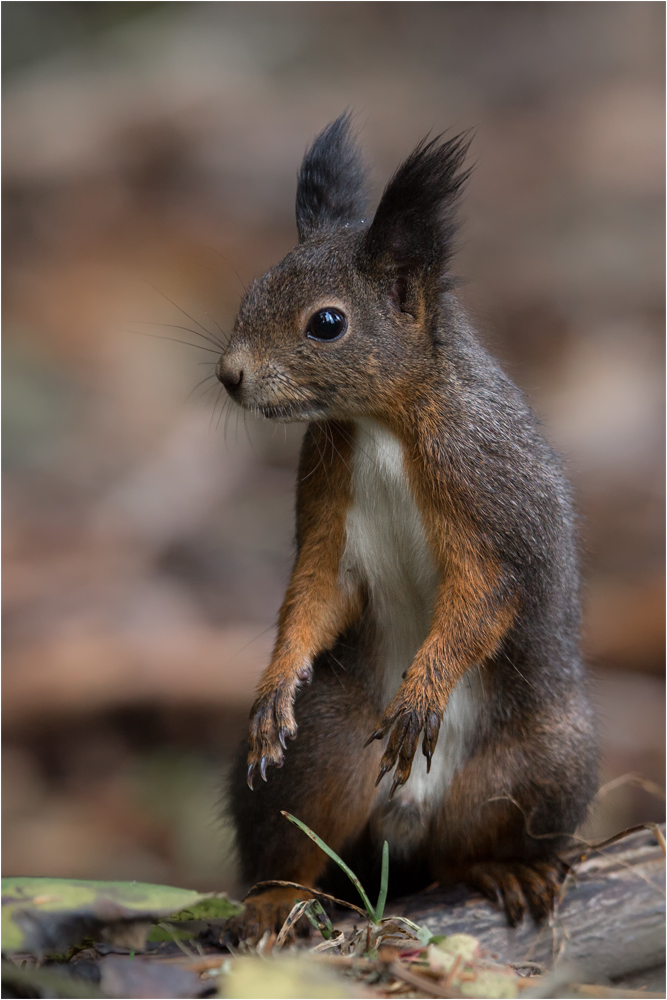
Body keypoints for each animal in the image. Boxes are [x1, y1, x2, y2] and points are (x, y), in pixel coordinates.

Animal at [217, 113, 596, 940]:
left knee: (466, 851)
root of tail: (403, 827)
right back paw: (275, 899)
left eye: (327, 323)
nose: (229, 376)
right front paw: (274, 680)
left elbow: (483, 595)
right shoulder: (325, 494)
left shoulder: (483, 491)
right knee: (298, 832)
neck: (380, 421)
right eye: (251, 289)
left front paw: (423, 691)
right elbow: (314, 591)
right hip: (323, 747)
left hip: (541, 763)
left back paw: (507, 869)